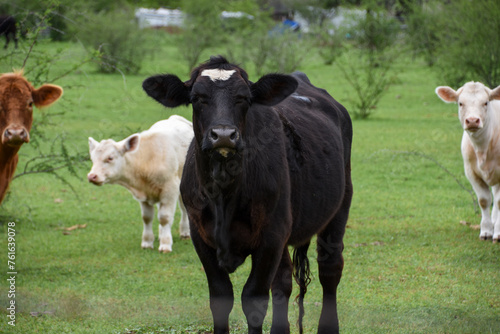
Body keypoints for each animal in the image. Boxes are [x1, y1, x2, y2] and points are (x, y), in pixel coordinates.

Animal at [88, 116, 193, 252]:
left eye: (110, 158)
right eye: (92, 159)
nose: (92, 176)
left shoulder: (170, 189)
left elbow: (164, 217)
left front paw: (165, 244)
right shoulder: (144, 195)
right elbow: (147, 218)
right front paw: (147, 242)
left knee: (184, 208)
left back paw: (185, 232)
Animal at [143, 57, 354, 334]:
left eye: (244, 97)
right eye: (197, 97)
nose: (223, 135)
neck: (224, 194)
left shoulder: (270, 237)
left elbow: (254, 300)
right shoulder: (201, 236)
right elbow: (221, 297)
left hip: (339, 207)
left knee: (330, 270)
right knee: (283, 280)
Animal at [434, 81, 500, 243]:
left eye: (486, 102)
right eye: (460, 103)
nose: (472, 121)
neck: (483, 148)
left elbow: (499, 201)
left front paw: (498, 233)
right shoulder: (471, 172)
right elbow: (484, 200)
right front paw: (486, 231)